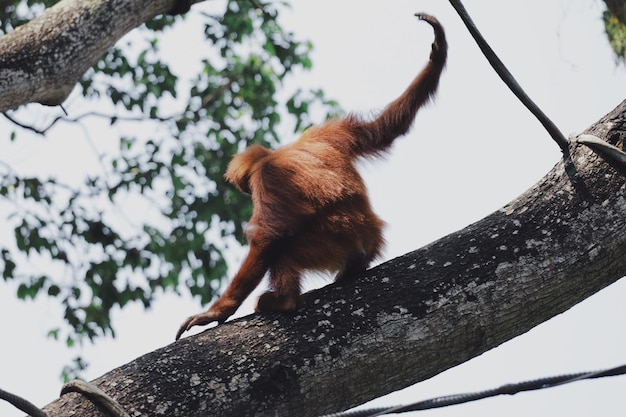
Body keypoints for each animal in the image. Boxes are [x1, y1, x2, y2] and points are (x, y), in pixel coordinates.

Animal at [176, 13, 446, 340]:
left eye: (248, 189)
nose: (246, 192)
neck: (274, 154)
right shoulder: (324, 135)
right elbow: (383, 129)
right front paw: (438, 49)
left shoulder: (267, 176)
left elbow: (268, 236)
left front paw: (217, 311)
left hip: (329, 245)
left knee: (283, 248)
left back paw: (284, 301)